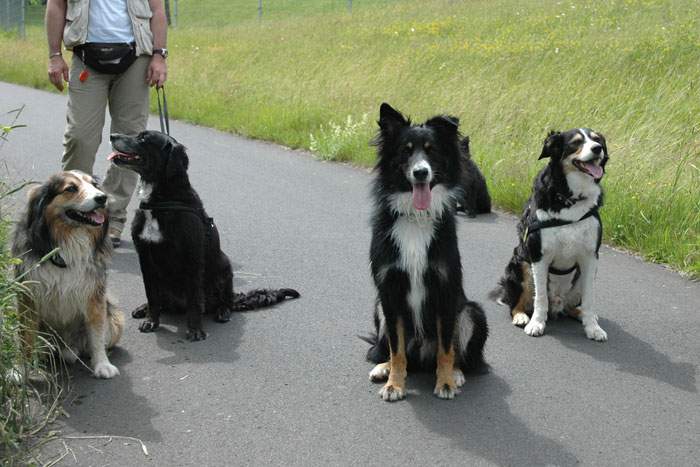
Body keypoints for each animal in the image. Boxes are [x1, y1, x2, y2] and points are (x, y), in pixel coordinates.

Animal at [11, 170, 123, 378]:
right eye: (70, 188)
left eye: (95, 185)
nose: (102, 198)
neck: (68, 239)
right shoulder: (28, 296)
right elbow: (25, 337)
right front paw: (19, 370)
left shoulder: (94, 294)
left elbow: (96, 333)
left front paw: (102, 364)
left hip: (116, 321)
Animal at [109, 130, 298, 342]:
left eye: (143, 138)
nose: (112, 135)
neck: (161, 201)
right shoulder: (145, 257)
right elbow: (152, 295)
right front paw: (151, 320)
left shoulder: (192, 257)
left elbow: (194, 299)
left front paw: (195, 330)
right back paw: (144, 308)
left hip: (224, 266)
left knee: (224, 301)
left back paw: (223, 312)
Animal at [364, 105, 490, 402]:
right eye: (406, 150)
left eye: (432, 151)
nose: (421, 172)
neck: (415, 216)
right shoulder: (389, 291)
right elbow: (396, 350)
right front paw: (394, 384)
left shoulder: (445, 290)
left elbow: (446, 349)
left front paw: (445, 383)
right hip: (379, 306)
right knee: (393, 350)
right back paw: (383, 367)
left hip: (472, 312)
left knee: (458, 352)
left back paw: (456, 373)